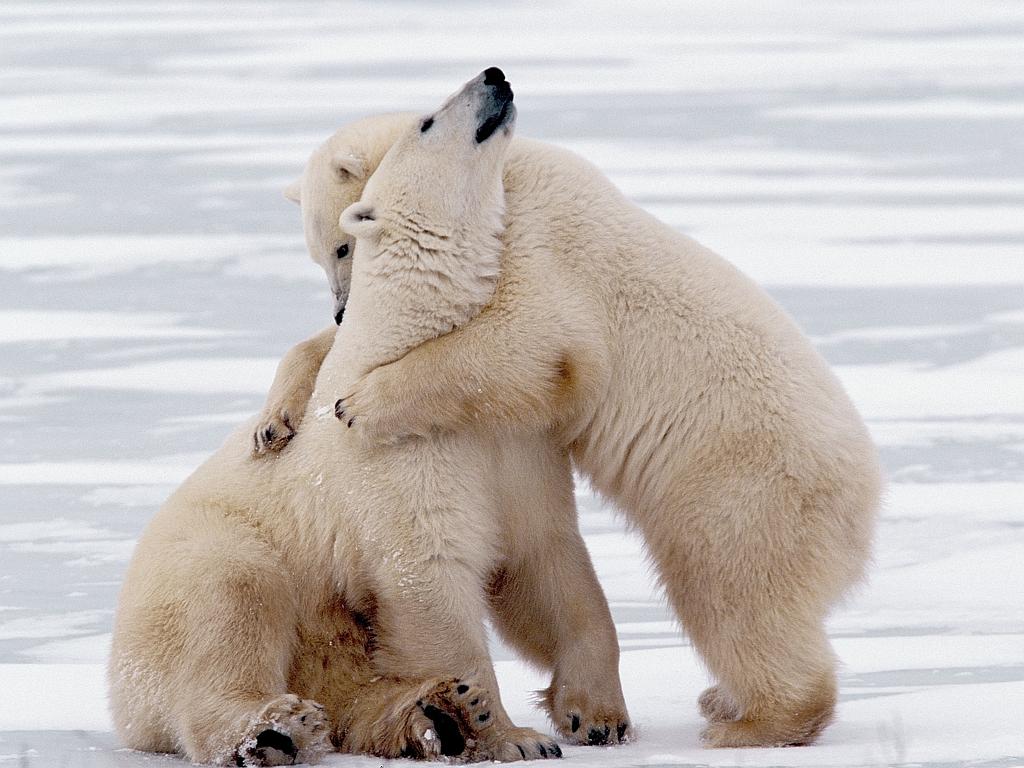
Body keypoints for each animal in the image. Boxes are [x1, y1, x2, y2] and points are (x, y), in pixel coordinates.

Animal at [110, 69, 630, 765]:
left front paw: (590, 712)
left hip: (326, 635)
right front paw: (507, 732)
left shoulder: (516, 442)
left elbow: (542, 559)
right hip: (211, 558)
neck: (409, 348)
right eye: (429, 122)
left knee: (354, 681)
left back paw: (427, 715)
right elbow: (428, 576)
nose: (493, 76)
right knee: (231, 610)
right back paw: (275, 727)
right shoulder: (398, 457)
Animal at [262, 87, 880, 749]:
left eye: (342, 245)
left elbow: (524, 343)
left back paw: (750, 723)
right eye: (321, 252)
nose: (343, 309)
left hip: (741, 492)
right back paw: (721, 702)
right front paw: (278, 419)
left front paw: (364, 402)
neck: (507, 171)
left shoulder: (542, 245)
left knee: (731, 599)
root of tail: (862, 515)